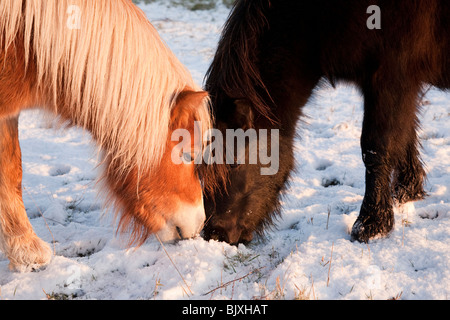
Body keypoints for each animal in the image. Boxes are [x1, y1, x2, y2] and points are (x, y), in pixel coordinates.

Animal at [0, 0, 210, 272]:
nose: (199, 225)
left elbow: (11, 170)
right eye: (187, 155)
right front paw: (29, 250)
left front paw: (22, 251)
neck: (24, 42)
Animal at [201, 0, 450, 244]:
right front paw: (408, 194)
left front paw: (371, 226)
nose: (214, 233)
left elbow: (377, 148)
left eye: (234, 163)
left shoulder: (391, 79)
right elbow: (405, 136)